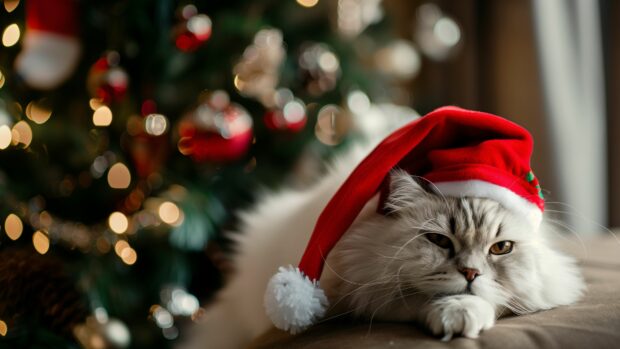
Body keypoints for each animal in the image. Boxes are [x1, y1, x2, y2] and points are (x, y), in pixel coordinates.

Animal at [177, 145, 584, 348]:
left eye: (501, 249)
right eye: (439, 240)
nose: (470, 272)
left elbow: (494, 299)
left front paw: (461, 312)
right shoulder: (359, 291)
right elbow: (415, 299)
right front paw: (453, 314)